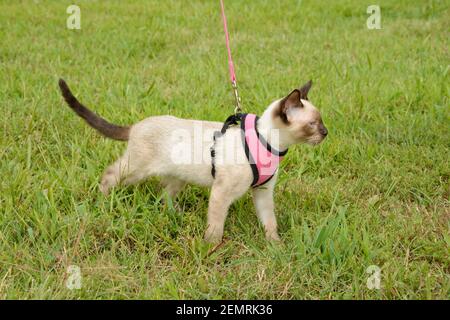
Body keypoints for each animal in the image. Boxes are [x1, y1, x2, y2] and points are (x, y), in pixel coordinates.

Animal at [59, 79, 326, 242]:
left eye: (320, 122)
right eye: (313, 124)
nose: (326, 133)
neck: (271, 145)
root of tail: (136, 125)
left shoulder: (263, 191)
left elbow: (270, 222)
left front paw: (275, 246)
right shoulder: (221, 193)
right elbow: (215, 228)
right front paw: (211, 249)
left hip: (178, 177)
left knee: (164, 195)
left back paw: (177, 216)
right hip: (134, 170)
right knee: (110, 176)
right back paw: (103, 201)